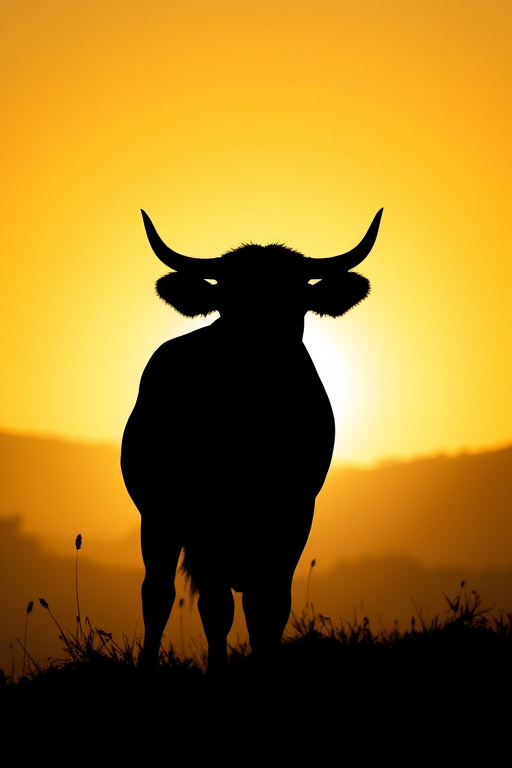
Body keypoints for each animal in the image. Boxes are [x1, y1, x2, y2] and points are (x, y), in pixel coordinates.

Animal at [121, 208, 383, 673]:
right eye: (229, 303)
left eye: (295, 302)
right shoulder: (204, 519)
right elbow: (217, 608)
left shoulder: (294, 516)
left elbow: (269, 607)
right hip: (158, 518)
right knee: (159, 594)